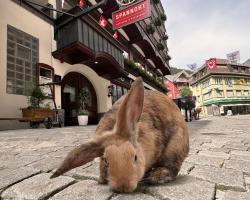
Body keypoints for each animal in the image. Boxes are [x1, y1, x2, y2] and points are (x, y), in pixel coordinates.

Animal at [50, 77, 188, 192]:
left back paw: (157, 176)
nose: (123, 186)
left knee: (172, 166)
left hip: (175, 146)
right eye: (106, 161)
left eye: (135, 157)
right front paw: (102, 180)